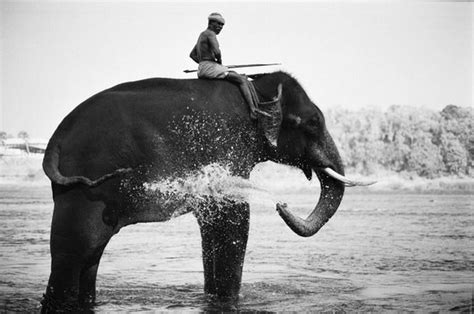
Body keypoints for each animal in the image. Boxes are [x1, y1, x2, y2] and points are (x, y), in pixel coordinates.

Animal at [40, 72, 372, 312]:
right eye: (313, 122)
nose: (282, 204)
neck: (255, 88)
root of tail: (56, 137)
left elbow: (213, 224)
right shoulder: (224, 148)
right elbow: (234, 218)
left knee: (90, 256)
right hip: (85, 188)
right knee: (75, 251)